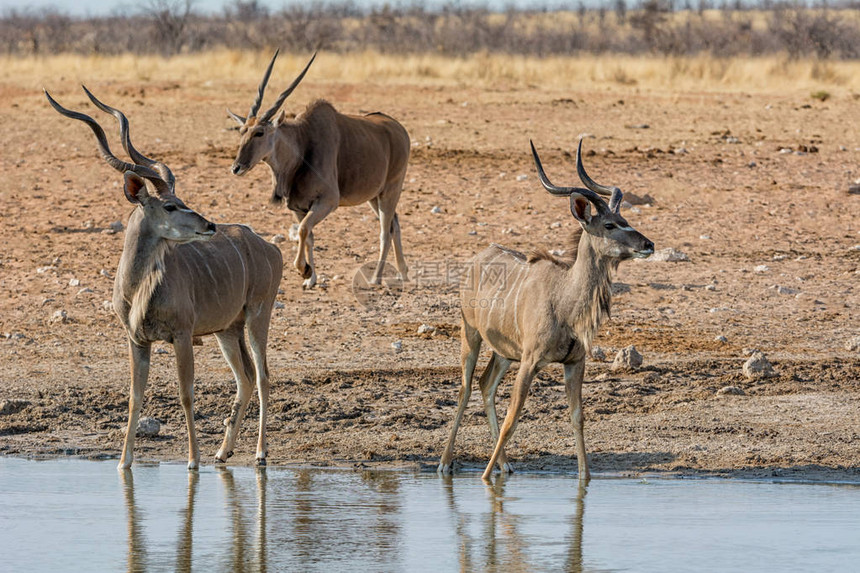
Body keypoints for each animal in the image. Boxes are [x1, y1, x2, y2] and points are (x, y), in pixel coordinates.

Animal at [46, 86, 282, 470]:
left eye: (181, 199)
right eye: (169, 205)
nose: (208, 225)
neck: (139, 291)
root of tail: (268, 246)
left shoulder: (182, 336)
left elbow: (186, 394)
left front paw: (193, 461)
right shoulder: (137, 341)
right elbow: (134, 396)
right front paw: (123, 462)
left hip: (257, 317)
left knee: (261, 377)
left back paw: (260, 453)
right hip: (227, 331)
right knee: (245, 378)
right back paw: (223, 451)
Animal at [228, 49, 410, 288]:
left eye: (259, 132)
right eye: (242, 131)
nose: (237, 167)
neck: (303, 144)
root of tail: (400, 130)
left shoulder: (327, 202)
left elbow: (304, 230)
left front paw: (303, 269)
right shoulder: (299, 208)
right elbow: (309, 236)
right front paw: (310, 278)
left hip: (390, 191)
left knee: (385, 232)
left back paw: (376, 278)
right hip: (375, 196)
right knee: (394, 224)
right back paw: (403, 273)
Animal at [440, 141, 656, 480]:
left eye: (626, 220)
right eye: (609, 224)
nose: (649, 244)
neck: (564, 300)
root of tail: (479, 256)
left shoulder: (575, 362)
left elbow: (577, 416)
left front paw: (584, 477)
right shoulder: (530, 362)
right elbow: (512, 419)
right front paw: (485, 479)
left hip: (504, 353)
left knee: (485, 385)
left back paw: (506, 465)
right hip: (470, 335)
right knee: (464, 389)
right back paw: (446, 462)